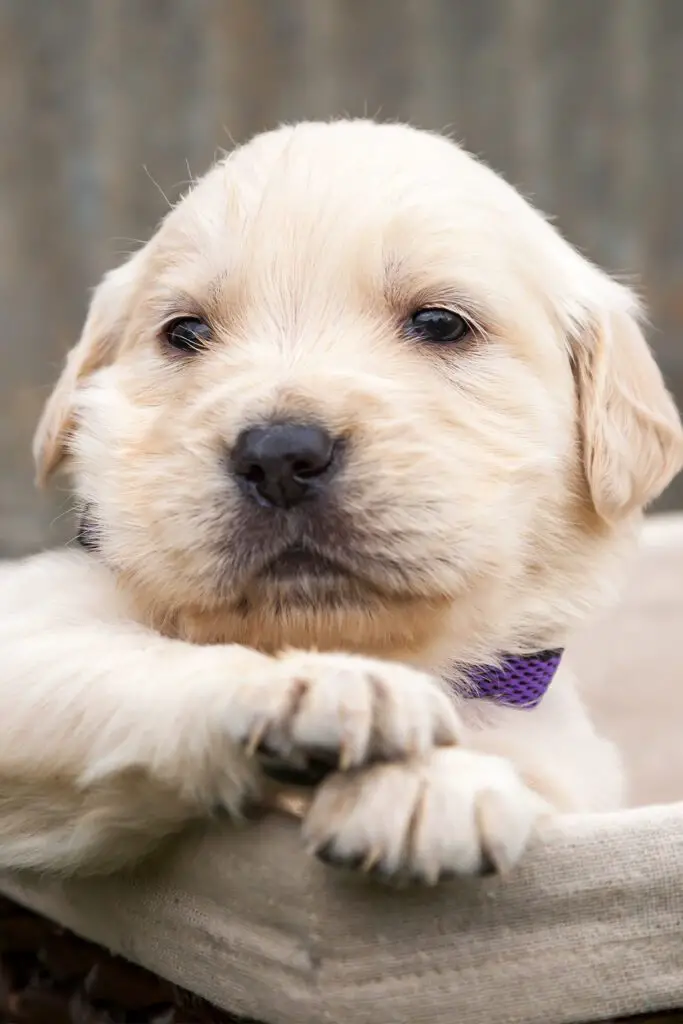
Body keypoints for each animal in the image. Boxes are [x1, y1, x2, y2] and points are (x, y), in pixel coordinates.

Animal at [1, 119, 683, 884]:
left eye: (441, 323)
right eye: (184, 333)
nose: (279, 457)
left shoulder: (563, 752)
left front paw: (429, 785)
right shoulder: (30, 622)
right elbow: (136, 658)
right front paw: (327, 689)